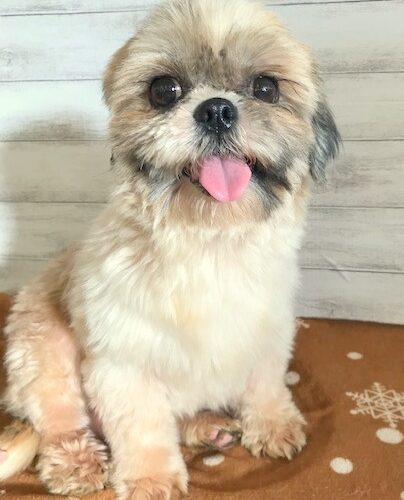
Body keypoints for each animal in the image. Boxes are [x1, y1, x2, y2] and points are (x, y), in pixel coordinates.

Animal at [0, 0, 340, 498]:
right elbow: (141, 427)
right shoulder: (123, 363)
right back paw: (76, 462)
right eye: (164, 90)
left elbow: (265, 383)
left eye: (266, 87)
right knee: (60, 418)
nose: (216, 110)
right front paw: (151, 477)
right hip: (41, 347)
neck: (208, 243)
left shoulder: (268, 334)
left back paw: (205, 426)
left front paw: (273, 424)